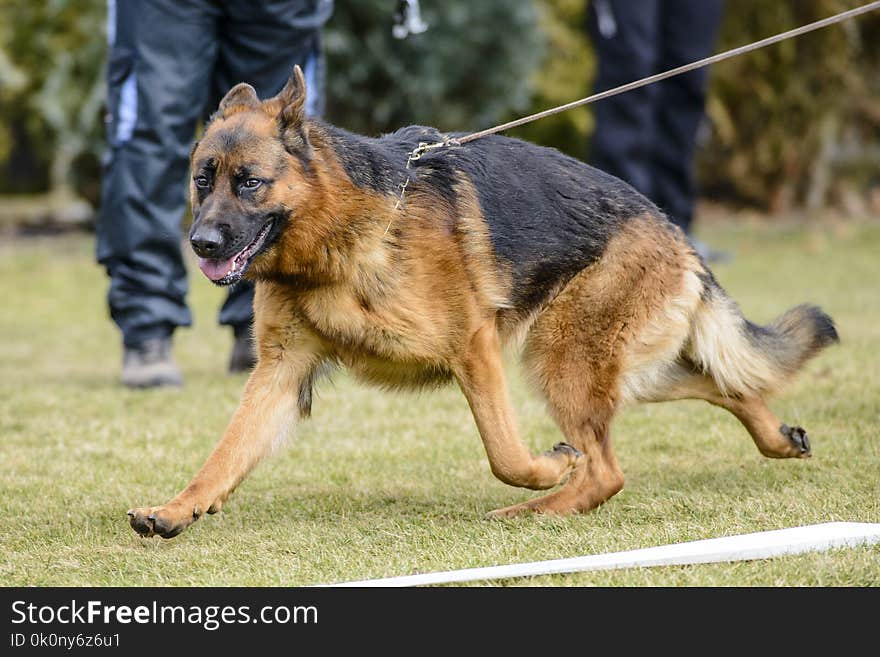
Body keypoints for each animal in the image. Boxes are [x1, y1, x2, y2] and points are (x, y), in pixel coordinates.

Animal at [127, 66, 836, 540]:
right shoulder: (279, 371)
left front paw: (548, 469)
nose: (200, 243)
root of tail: (677, 233)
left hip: (560, 358)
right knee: (724, 383)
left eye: (249, 183)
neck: (339, 235)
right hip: (614, 363)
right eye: (201, 181)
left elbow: (504, 453)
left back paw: (536, 508)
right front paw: (176, 509)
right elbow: (223, 455)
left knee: (606, 470)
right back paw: (778, 437)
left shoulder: (474, 347)